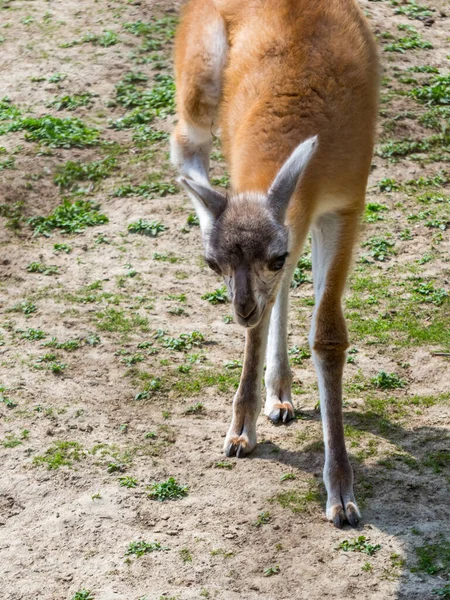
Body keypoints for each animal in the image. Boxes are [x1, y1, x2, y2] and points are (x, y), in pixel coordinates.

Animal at [171, 0, 380, 524]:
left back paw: (281, 395)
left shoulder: (344, 207)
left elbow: (328, 336)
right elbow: (263, 323)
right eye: (212, 263)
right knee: (185, 142)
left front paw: (342, 497)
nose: (240, 307)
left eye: (274, 254)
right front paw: (239, 433)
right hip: (199, 76)